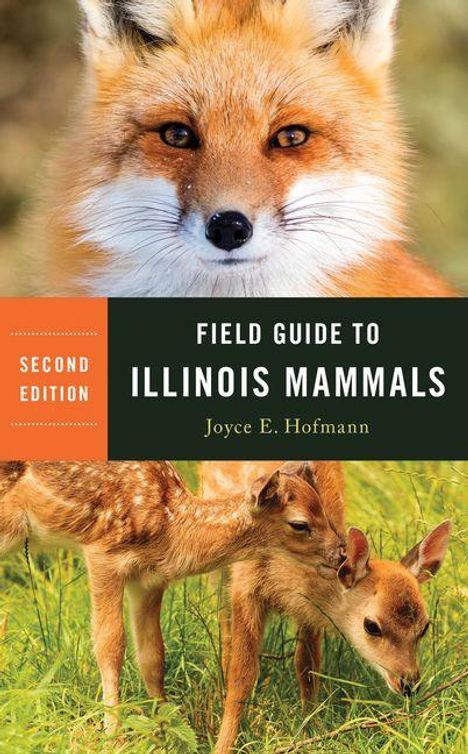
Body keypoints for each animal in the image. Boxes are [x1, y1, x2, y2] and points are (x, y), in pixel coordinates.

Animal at [199, 462, 452, 754]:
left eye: (425, 626)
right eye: (371, 626)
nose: (409, 682)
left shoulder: (309, 609)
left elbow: (307, 667)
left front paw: (310, 729)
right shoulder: (244, 585)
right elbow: (242, 674)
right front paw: (224, 743)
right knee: (223, 629)